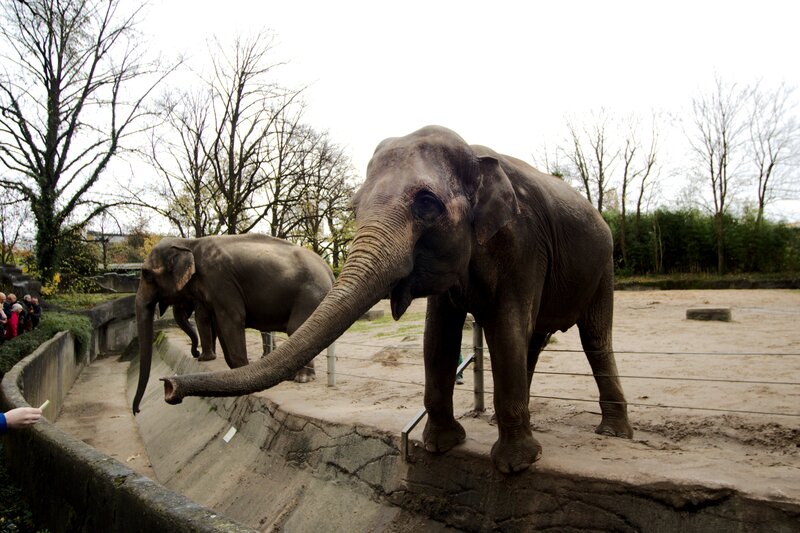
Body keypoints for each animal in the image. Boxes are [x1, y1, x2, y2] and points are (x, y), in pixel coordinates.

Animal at [133, 233, 334, 414]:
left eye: (146, 274)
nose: (137, 410)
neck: (189, 243)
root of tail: (329, 269)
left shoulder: (220, 279)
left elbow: (229, 318)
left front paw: (239, 367)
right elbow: (219, 324)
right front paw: (232, 370)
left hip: (310, 293)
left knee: (296, 328)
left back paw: (302, 379)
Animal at [161, 126, 633, 473]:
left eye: (426, 203)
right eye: (354, 206)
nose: (168, 388)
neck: (476, 154)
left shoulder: (523, 245)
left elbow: (506, 327)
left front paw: (515, 466)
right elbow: (437, 337)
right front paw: (441, 447)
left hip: (604, 266)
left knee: (593, 338)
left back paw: (614, 434)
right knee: (533, 341)